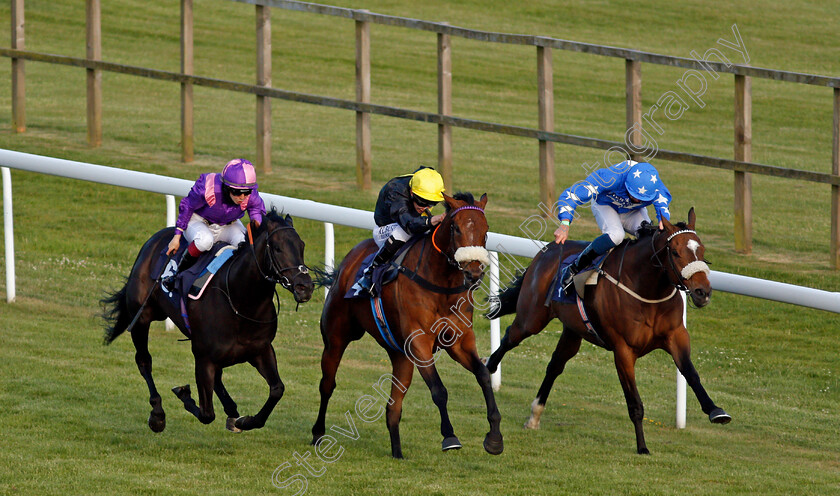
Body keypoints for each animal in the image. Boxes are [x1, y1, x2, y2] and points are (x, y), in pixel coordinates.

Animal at [100, 209, 314, 434]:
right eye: (278, 248)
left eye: (302, 246)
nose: (305, 287)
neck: (239, 301)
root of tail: (156, 238)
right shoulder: (203, 358)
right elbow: (206, 414)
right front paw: (183, 393)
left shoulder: (260, 349)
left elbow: (277, 389)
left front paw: (245, 420)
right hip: (142, 317)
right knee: (144, 361)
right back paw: (157, 414)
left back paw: (231, 411)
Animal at [312, 192, 502, 460]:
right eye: (455, 228)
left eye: (485, 230)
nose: (474, 273)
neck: (441, 285)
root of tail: (346, 263)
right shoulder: (419, 341)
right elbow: (439, 390)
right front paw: (450, 437)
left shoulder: (459, 341)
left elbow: (484, 374)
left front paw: (494, 437)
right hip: (336, 337)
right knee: (327, 384)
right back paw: (318, 434)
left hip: (400, 355)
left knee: (393, 407)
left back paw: (397, 453)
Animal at [486, 207, 728, 456]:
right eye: (676, 252)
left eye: (701, 250)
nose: (702, 292)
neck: (647, 290)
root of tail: (548, 249)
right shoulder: (623, 350)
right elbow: (635, 403)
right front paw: (642, 446)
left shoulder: (676, 335)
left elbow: (691, 373)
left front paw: (715, 410)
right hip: (532, 318)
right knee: (510, 337)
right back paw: (488, 368)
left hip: (573, 331)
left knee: (555, 366)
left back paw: (535, 415)